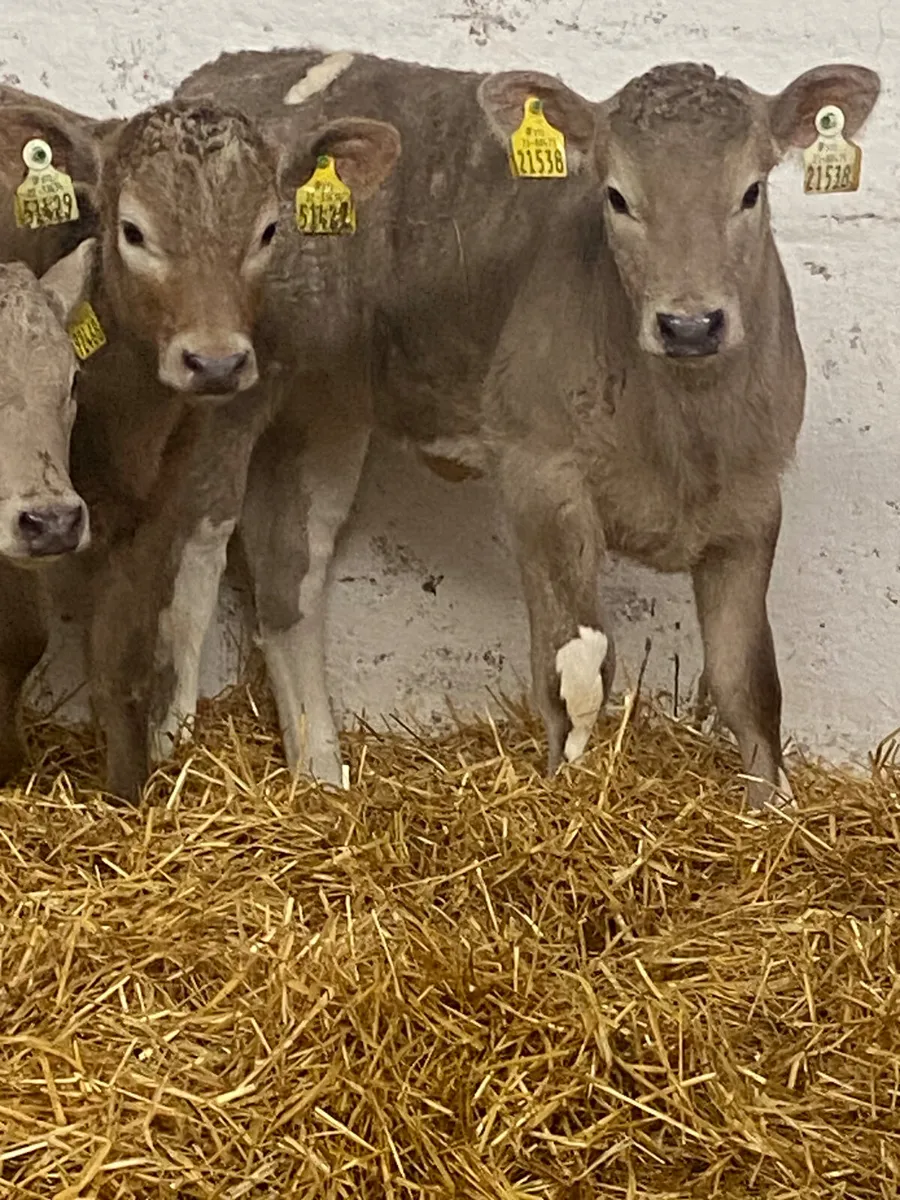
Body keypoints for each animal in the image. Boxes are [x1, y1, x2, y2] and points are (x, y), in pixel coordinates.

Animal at [0, 87, 401, 801]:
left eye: (268, 231)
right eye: (133, 231)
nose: (214, 363)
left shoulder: (157, 507)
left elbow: (122, 662)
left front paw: (127, 798)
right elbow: (19, 639)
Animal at [175, 50, 878, 809]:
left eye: (751, 191)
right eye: (617, 197)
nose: (690, 324)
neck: (682, 432)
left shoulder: (753, 500)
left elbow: (750, 682)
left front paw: (772, 810)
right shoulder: (540, 474)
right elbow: (577, 670)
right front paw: (570, 799)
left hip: (322, 409)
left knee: (290, 578)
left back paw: (321, 778)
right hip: (220, 392)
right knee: (194, 559)